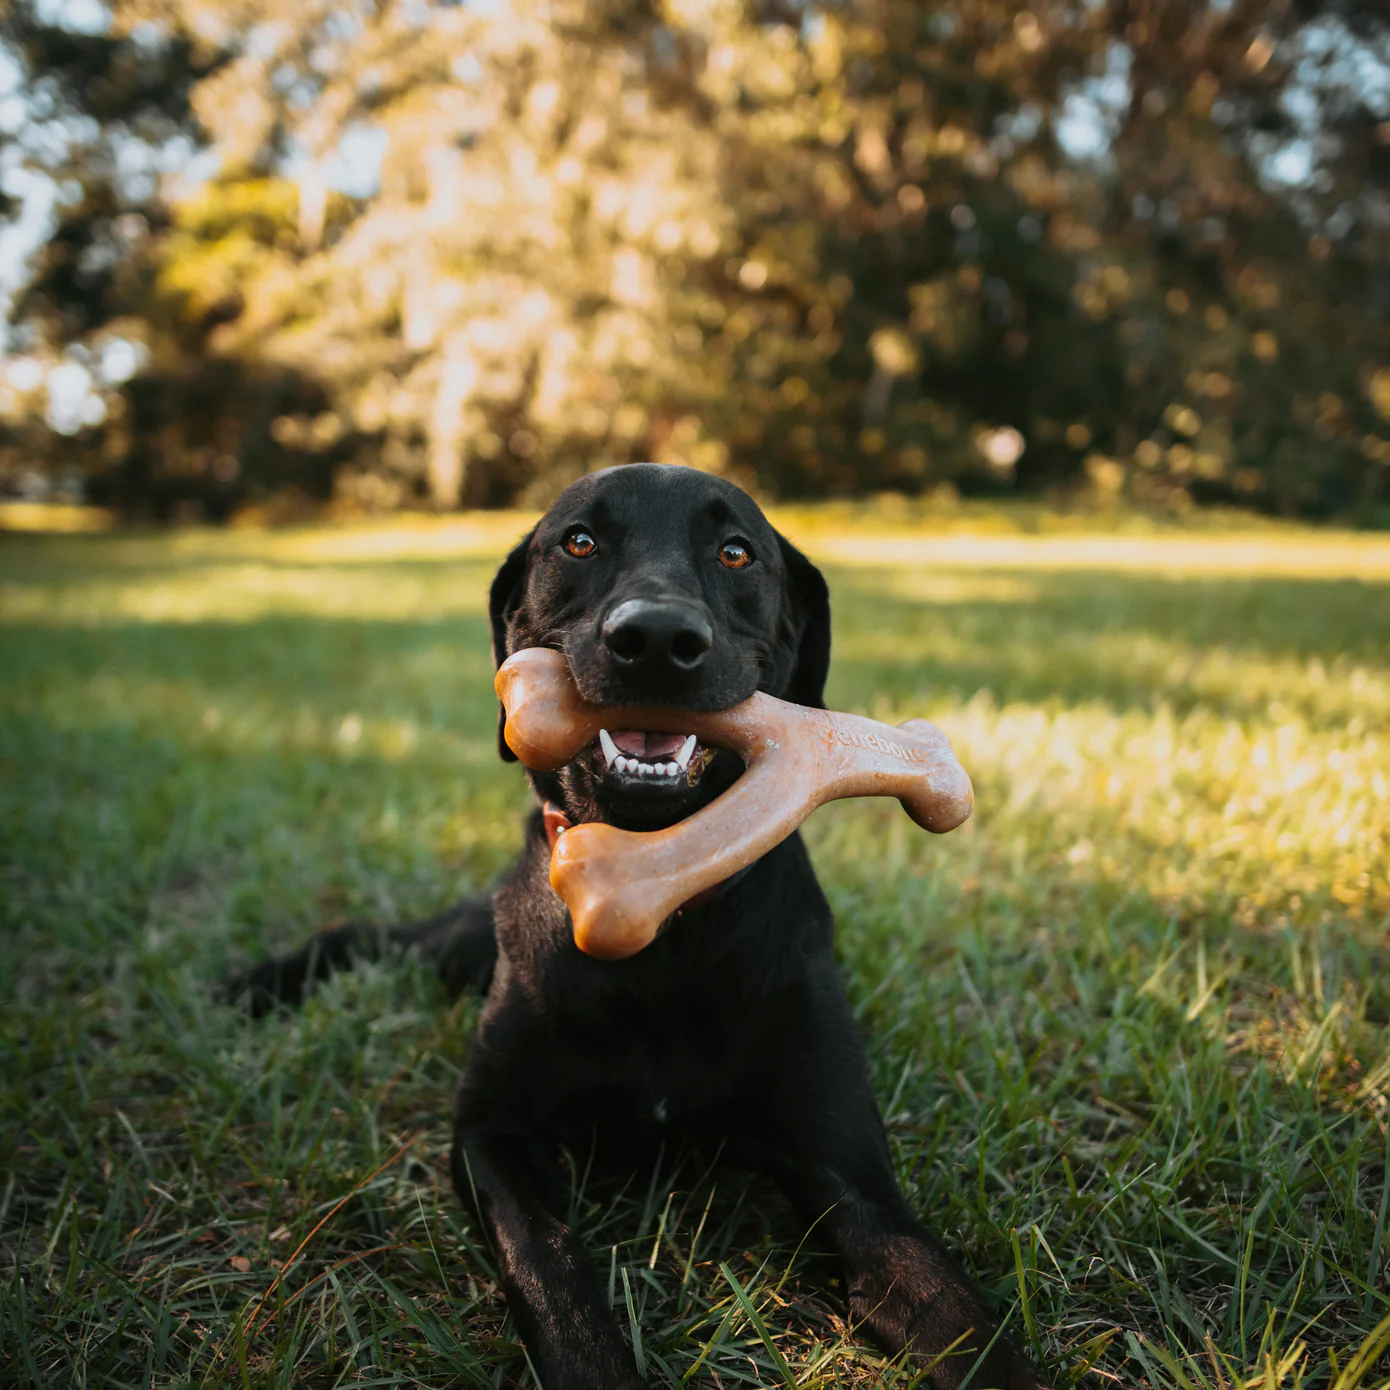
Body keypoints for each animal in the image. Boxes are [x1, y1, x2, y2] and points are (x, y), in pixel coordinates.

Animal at [236, 467, 1045, 1390]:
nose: (656, 637)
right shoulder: (491, 1135)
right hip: (463, 946)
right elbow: (552, 1270)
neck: (666, 896)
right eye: (579, 541)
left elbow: (959, 1315)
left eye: (737, 553)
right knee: (370, 936)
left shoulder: (855, 1177)